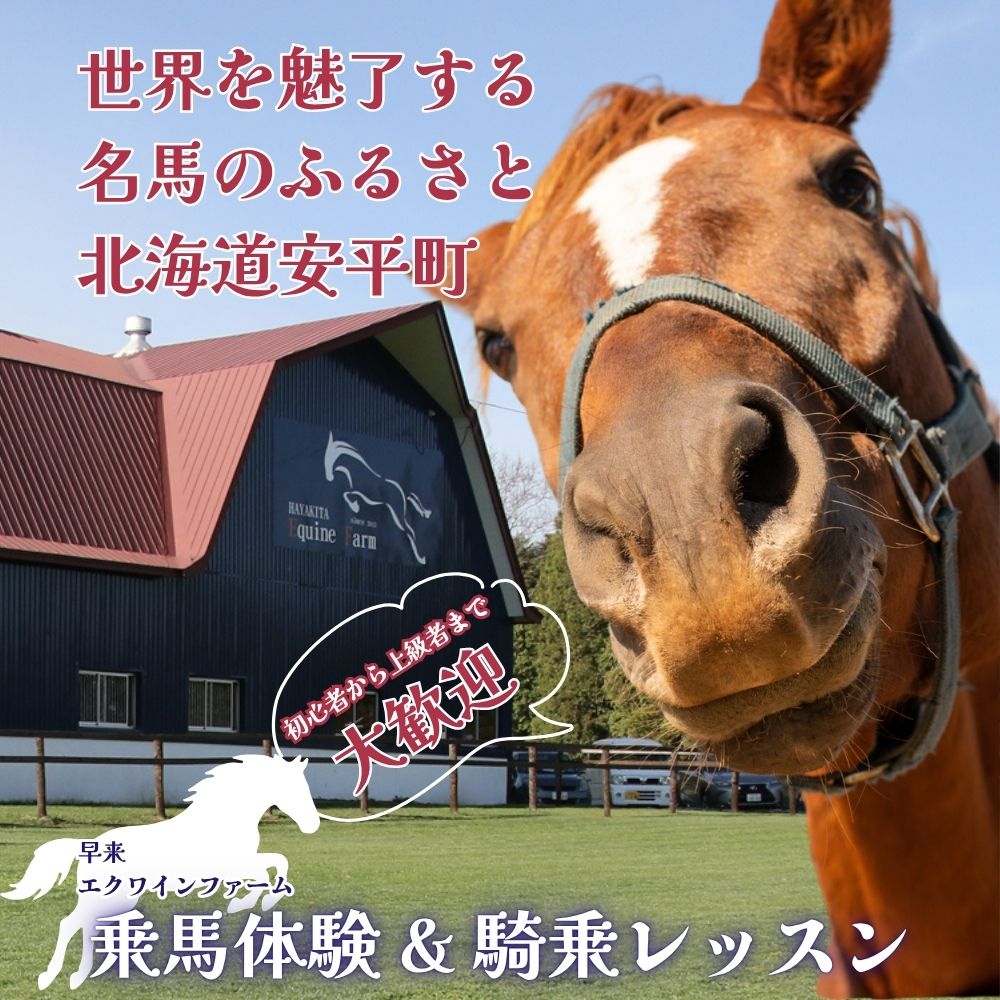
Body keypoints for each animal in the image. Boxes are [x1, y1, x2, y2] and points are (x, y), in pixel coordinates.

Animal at [2, 754, 320, 991]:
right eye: (295, 789)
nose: (313, 826)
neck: (222, 819)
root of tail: (88, 846)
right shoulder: (233, 866)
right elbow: (268, 872)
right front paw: (249, 902)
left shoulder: (242, 865)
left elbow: (276, 865)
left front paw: (246, 903)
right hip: (109, 898)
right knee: (73, 924)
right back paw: (66, 977)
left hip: (117, 900)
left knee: (81, 925)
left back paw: (68, 975)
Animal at [324, 434, 433, 564]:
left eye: (329, 459)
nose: (329, 478)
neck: (353, 470)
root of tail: (402, 491)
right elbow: (346, 494)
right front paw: (355, 506)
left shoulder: (355, 491)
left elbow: (346, 494)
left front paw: (355, 507)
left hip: (398, 514)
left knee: (410, 531)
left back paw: (420, 558)